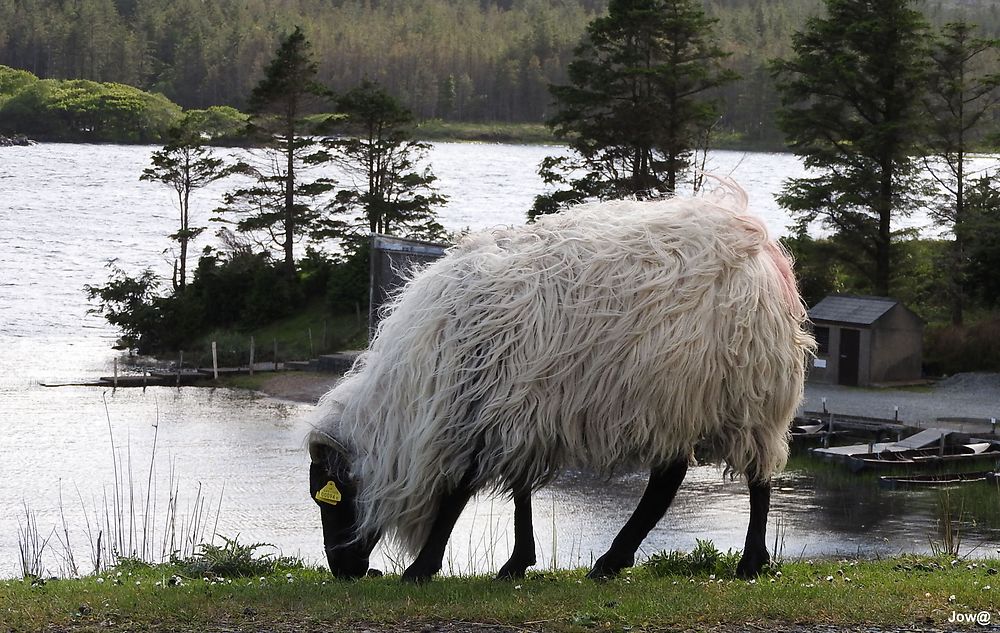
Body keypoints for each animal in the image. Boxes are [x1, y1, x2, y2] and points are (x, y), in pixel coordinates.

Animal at [304, 179, 812, 584]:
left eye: (329, 498)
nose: (344, 571)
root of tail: (760, 242)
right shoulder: (515, 411)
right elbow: (519, 492)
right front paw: (516, 562)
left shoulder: (484, 412)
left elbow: (457, 492)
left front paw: (422, 567)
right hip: (675, 397)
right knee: (668, 480)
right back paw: (612, 560)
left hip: (749, 393)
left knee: (757, 480)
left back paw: (749, 562)